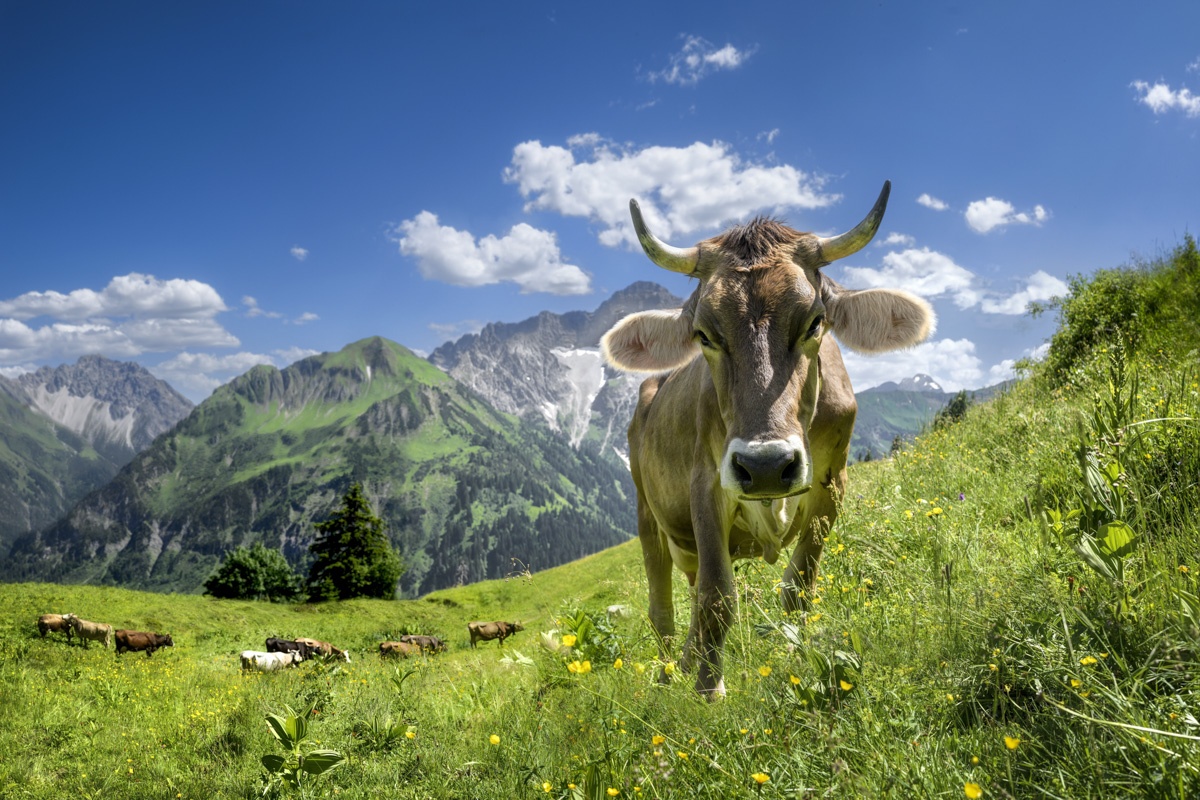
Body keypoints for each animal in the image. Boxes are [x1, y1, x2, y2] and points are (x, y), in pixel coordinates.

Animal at [600, 182, 933, 698]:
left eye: (815, 322)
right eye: (704, 334)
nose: (765, 466)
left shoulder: (831, 484)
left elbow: (798, 586)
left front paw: (798, 656)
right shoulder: (706, 484)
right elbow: (718, 596)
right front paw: (707, 690)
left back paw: (690, 659)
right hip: (646, 512)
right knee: (663, 609)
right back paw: (670, 674)